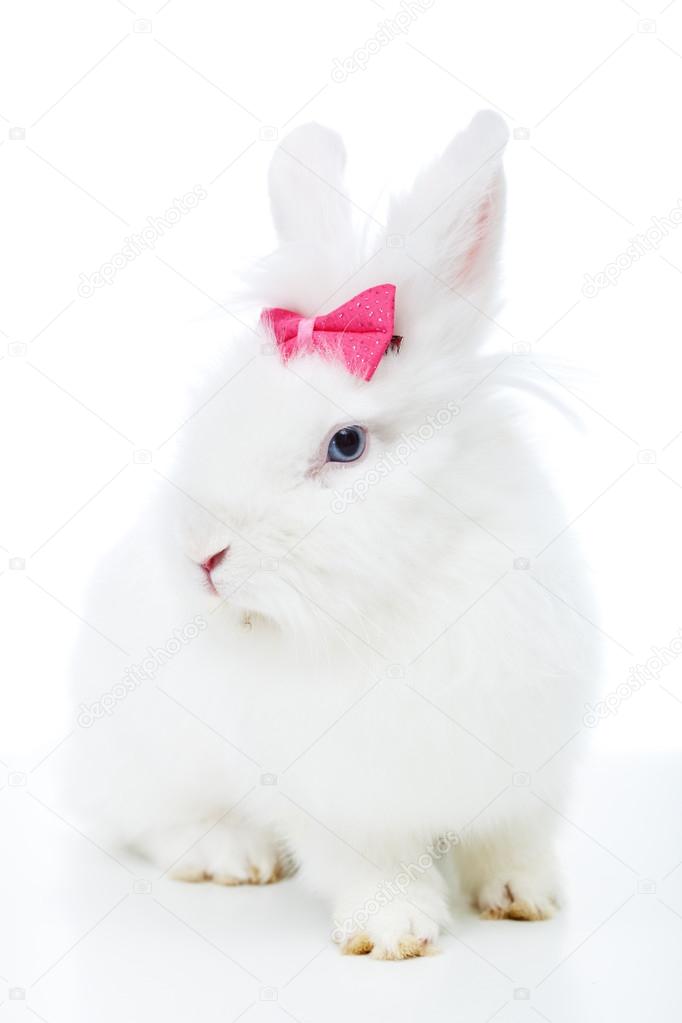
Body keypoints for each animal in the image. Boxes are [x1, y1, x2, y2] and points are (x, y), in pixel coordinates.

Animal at [65, 111, 599, 960]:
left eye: (345, 444)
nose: (200, 554)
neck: (405, 597)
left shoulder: (524, 774)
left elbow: (510, 840)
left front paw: (526, 899)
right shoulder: (347, 801)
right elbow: (373, 864)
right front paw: (396, 931)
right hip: (144, 759)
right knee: (151, 822)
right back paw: (234, 856)